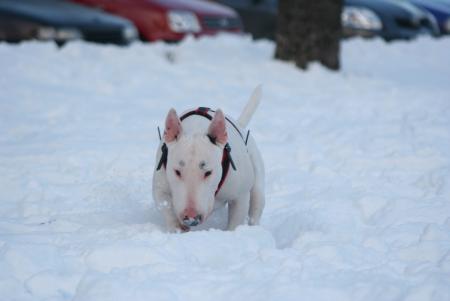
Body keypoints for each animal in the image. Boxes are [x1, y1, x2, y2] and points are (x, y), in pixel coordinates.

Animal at [152, 86, 264, 232]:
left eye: (208, 172)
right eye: (177, 171)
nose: (191, 217)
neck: (196, 128)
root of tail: (240, 125)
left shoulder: (240, 195)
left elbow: (235, 221)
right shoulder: (160, 186)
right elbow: (165, 205)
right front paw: (177, 229)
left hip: (257, 177)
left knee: (256, 204)